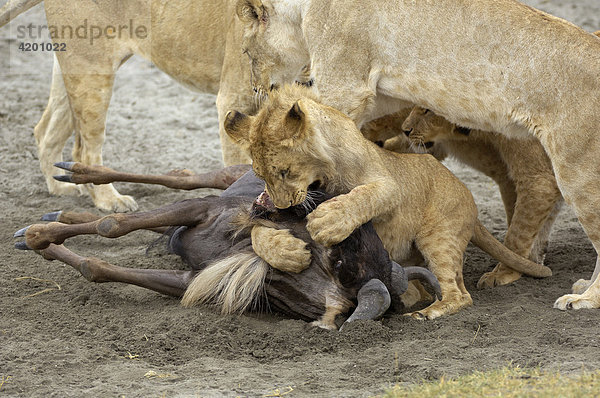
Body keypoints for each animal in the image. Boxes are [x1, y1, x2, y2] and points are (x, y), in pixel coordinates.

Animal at [223, 84, 552, 320]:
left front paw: (327, 222)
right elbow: (256, 232)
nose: (281, 205)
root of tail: (467, 192)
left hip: (438, 237)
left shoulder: (389, 184)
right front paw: (288, 254)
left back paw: (426, 313)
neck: (323, 177)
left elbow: (364, 196)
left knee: (460, 295)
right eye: (259, 174)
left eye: (285, 171)